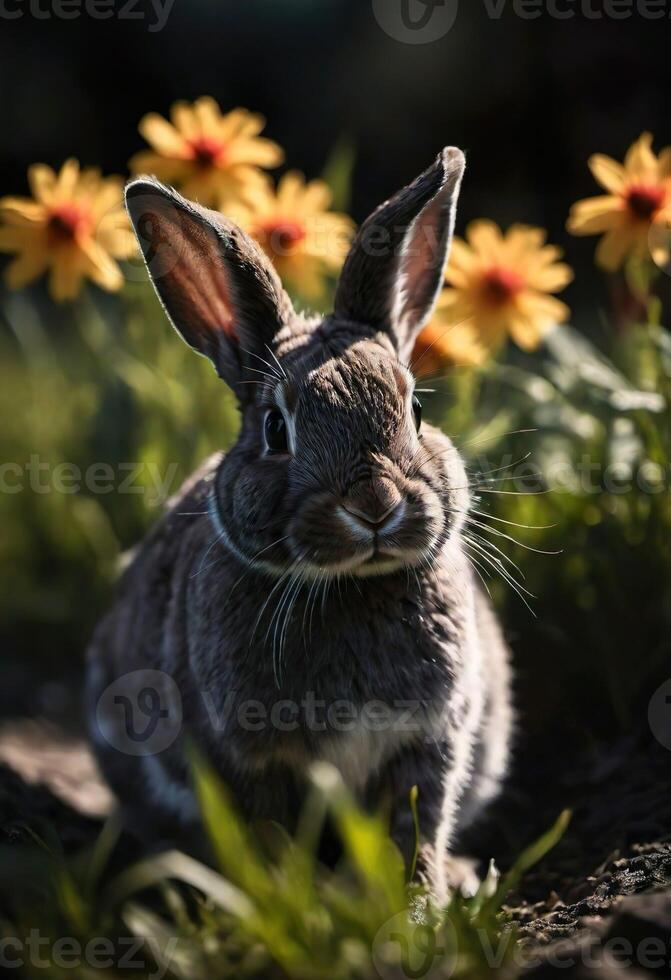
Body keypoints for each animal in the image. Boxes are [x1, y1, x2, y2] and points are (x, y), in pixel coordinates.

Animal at [85, 149, 516, 900]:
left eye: (416, 413)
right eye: (274, 429)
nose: (375, 503)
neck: (351, 584)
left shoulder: (429, 742)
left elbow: (417, 826)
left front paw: (419, 904)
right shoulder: (249, 759)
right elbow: (269, 836)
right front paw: (290, 901)